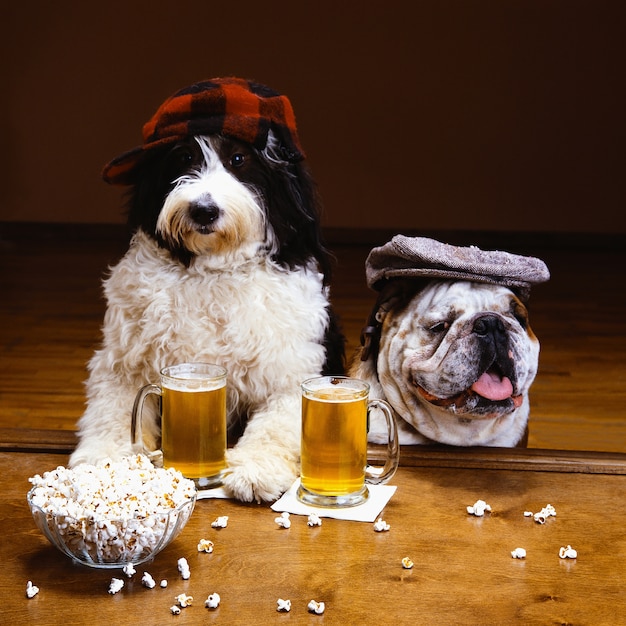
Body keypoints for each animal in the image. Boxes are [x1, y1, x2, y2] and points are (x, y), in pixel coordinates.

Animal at [70, 78, 344, 500]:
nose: (203, 210)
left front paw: (255, 468)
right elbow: (111, 412)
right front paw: (104, 462)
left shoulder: (293, 371)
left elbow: (275, 425)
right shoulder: (123, 363)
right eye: (183, 156)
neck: (212, 270)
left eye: (239, 159)